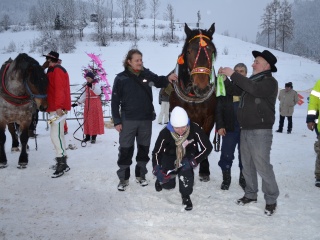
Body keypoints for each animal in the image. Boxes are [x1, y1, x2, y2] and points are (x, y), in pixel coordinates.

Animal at [170, 23, 218, 182]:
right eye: (189, 51)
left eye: (212, 51)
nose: (201, 87)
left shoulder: (209, 119)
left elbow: (205, 139)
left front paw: (204, 169)